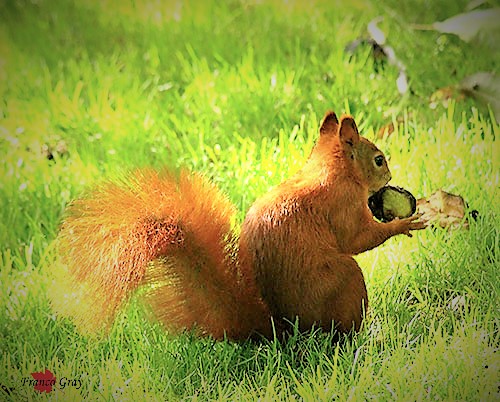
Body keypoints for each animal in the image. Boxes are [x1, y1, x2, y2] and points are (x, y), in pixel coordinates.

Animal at [51, 111, 426, 340]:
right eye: (378, 160)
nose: (390, 176)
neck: (331, 172)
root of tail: (282, 327)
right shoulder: (343, 205)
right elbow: (357, 239)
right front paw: (405, 222)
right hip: (345, 281)